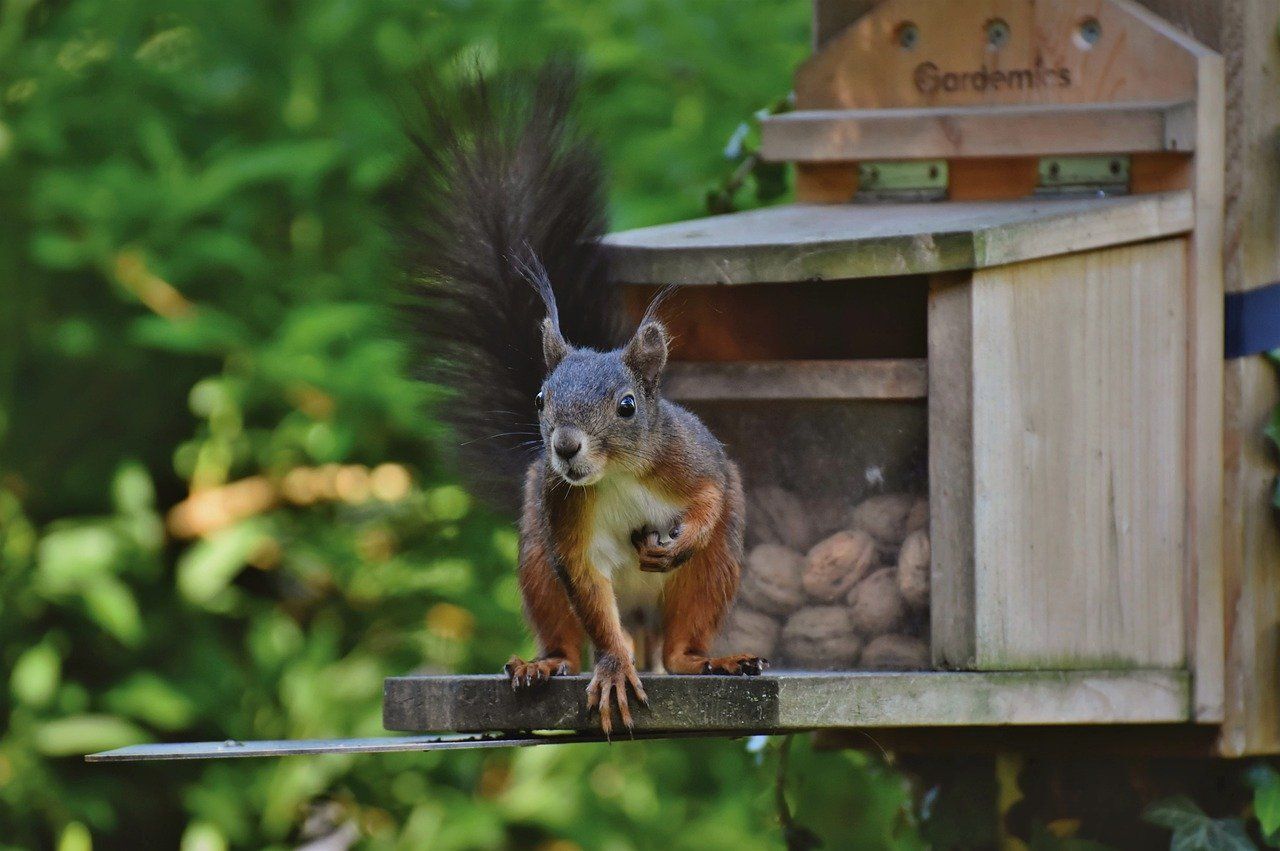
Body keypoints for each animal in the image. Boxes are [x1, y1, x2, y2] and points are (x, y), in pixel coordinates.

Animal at [397, 62, 766, 735]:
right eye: (541, 399)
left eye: (627, 405)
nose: (565, 449)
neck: (615, 474)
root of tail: (648, 626)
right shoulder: (563, 520)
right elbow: (589, 593)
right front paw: (614, 668)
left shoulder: (688, 455)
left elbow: (710, 492)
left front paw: (686, 531)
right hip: (535, 563)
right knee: (570, 636)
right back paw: (548, 663)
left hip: (713, 574)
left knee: (683, 642)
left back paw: (712, 660)